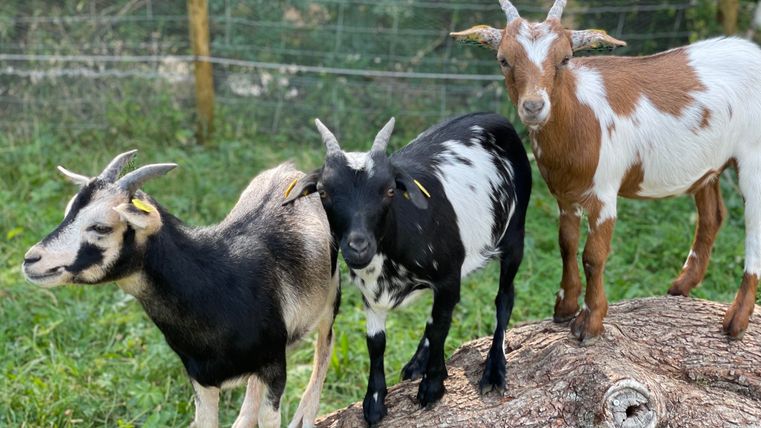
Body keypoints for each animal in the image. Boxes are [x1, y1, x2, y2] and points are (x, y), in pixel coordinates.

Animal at [22, 150, 340, 428]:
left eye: (101, 227)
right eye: (68, 214)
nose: (31, 259)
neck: (216, 280)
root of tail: (290, 170)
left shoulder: (274, 366)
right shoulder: (201, 378)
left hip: (331, 293)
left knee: (325, 342)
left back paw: (305, 416)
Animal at [284, 113, 531, 424]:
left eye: (390, 190)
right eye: (323, 192)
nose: (358, 247)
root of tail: (497, 118)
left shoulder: (447, 276)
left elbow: (440, 327)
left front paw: (432, 387)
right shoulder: (371, 293)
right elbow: (377, 342)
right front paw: (374, 402)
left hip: (515, 233)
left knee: (504, 298)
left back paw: (494, 371)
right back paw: (417, 363)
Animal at [452, 0, 761, 342]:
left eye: (565, 58)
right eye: (503, 59)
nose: (533, 107)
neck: (579, 113)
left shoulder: (604, 193)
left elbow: (593, 255)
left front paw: (589, 322)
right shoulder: (564, 194)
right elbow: (566, 244)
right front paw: (564, 307)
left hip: (753, 154)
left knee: (753, 226)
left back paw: (736, 320)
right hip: (709, 163)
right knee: (712, 216)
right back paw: (681, 286)